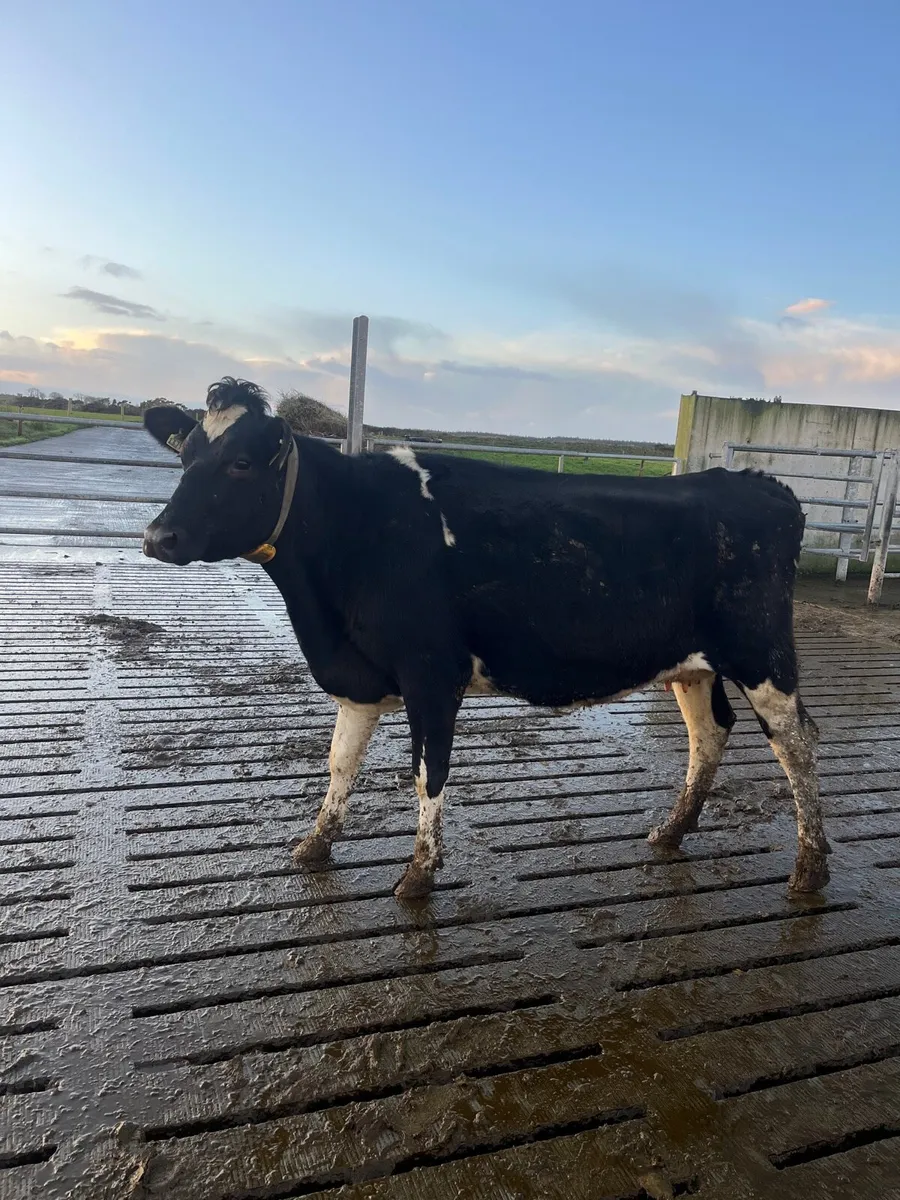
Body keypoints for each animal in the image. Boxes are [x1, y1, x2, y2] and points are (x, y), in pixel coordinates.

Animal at [142, 377, 829, 900]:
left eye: (239, 462)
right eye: (185, 457)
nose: (157, 537)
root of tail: (758, 483)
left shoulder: (431, 673)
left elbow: (428, 772)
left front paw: (419, 875)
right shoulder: (358, 675)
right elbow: (340, 762)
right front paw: (314, 844)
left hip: (763, 654)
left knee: (796, 744)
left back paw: (811, 867)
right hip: (691, 663)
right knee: (709, 734)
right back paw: (671, 832)